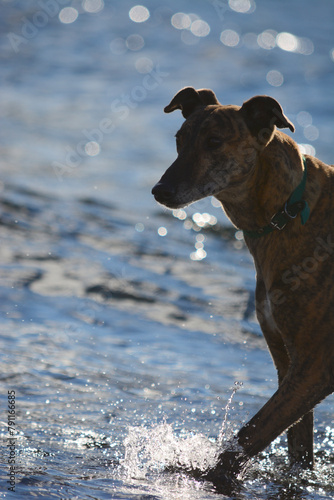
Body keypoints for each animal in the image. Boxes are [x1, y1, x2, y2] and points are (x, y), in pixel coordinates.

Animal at [152, 87, 334, 492]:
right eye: (179, 140)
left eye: (214, 142)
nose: (160, 191)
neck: (288, 210)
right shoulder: (288, 364)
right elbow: (296, 451)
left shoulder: (316, 367)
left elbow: (248, 436)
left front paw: (206, 475)